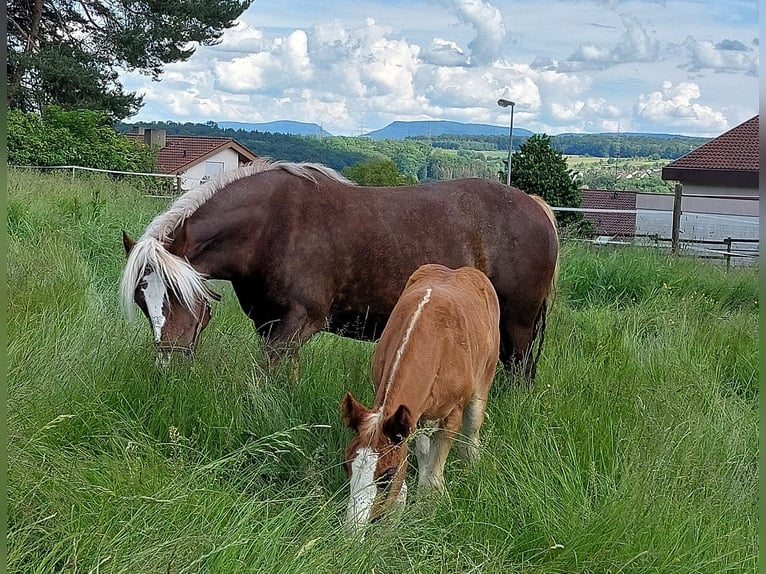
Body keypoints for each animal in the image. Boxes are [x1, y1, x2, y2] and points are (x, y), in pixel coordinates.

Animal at [123, 160, 560, 380]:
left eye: (177, 296)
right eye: (145, 303)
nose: (167, 367)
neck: (271, 226)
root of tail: (536, 205)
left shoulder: (299, 322)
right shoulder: (270, 325)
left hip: (517, 326)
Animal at [340, 264, 498, 532]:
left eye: (386, 475)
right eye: (346, 465)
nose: (353, 531)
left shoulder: (453, 414)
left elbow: (434, 475)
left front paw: (430, 506)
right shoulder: (406, 416)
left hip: (483, 381)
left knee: (472, 432)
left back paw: (472, 466)